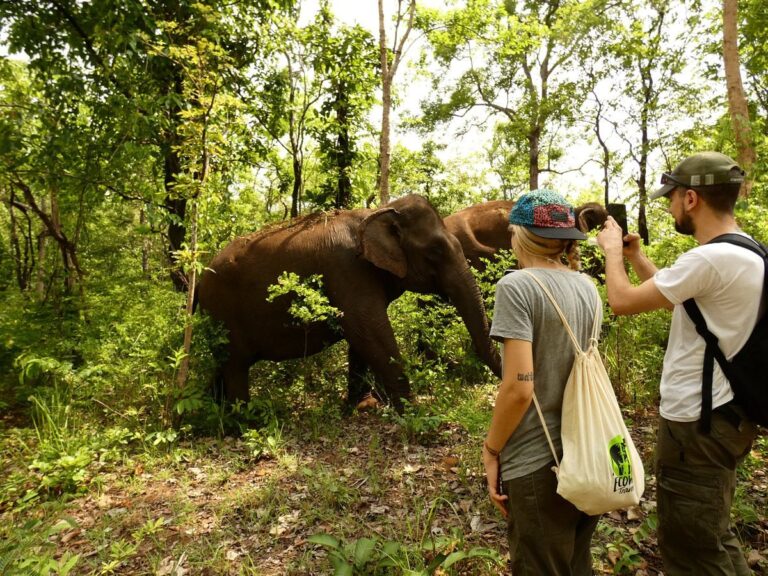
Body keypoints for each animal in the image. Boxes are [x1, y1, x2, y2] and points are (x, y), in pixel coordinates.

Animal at [197, 194, 503, 410]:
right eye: (436, 251)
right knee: (235, 367)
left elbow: (362, 335)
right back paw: (246, 420)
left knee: (224, 365)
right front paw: (413, 410)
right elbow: (368, 330)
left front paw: (362, 405)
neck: (378, 212)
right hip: (223, 312)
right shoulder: (346, 269)